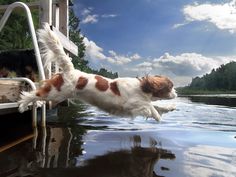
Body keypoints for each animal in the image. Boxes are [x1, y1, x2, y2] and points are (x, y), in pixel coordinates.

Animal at [18, 23, 177, 121]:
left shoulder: (141, 103)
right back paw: (23, 105)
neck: (142, 88)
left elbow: (156, 105)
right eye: (170, 87)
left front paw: (169, 108)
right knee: (34, 94)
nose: (176, 93)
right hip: (55, 93)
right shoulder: (131, 105)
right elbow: (151, 107)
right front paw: (157, 116)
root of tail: (71, 70)